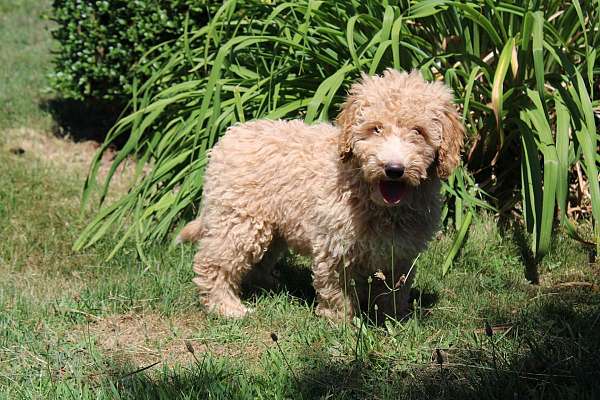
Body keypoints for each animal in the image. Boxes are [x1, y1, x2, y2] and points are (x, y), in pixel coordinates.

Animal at [178, 68, 464, 318]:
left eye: (418, 131)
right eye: (376, 128)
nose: (394, 169)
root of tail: (230, 134)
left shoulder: (401, 253)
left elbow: (394, 289)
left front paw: (393, 319)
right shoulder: (335, 246)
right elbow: (337, 289)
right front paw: (341, 323)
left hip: (273, 225)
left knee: (260, 259)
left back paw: (270, 285)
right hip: (240, 222)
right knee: (214, 262)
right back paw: (226, 307)